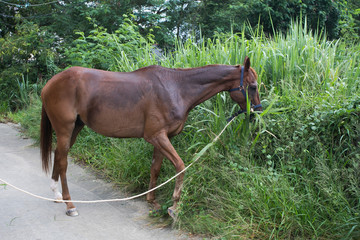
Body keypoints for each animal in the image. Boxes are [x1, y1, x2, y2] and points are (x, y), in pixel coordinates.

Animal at [40, 56, 262, 218]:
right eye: (252, 86)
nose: (257, 113)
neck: (176, 88)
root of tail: (50, 84)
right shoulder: (155, 136)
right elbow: (180, 166)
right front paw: (175, 206)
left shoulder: (162, 138)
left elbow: (155, 168)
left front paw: (152, 201)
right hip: (65, 129)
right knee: (63, 161)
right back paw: (70, 205)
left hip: (75, 128)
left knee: (58, 155)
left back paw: (57, 194)